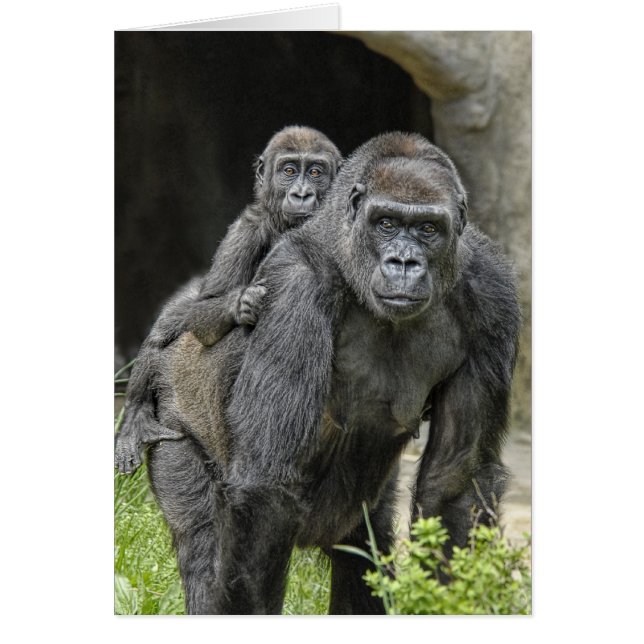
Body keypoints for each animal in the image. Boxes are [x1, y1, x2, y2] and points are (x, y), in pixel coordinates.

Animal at [114, 126, 342, 474]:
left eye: (316, 172)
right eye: (289, 171)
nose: (302, 194)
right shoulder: (245, 230)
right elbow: (202, 309)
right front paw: (244, 303)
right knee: (169, 326)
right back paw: (135, 418)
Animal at [144, 131, 521, 614]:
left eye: (428, 229)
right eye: (386, 223)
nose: (404, 263)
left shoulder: (492, 293)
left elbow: (457, 480)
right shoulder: (296, 284)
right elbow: (264, 488)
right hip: (171, 421)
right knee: (203, 544)